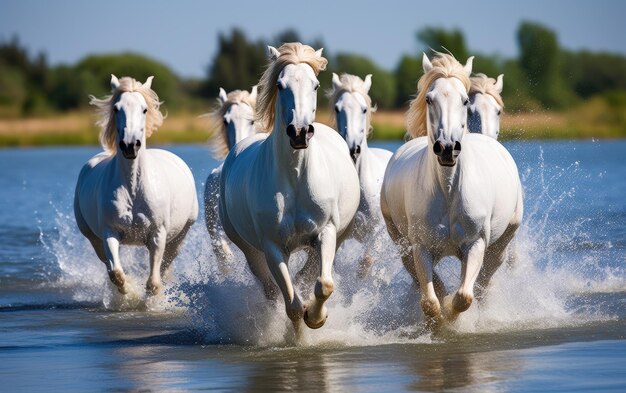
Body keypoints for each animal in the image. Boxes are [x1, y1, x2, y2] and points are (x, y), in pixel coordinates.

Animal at [74, 75, 199, 294]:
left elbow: (154, 283)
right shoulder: (109, 233)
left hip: (180, 236)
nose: (130, 145)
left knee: (166, 265)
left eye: (144, 109)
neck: (133, 190)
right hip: (92, 238)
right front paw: (127, 293)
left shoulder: (158, 235)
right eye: (116, 108)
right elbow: (116, 274)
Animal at [217, 43, 358, 330]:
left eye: (316, 85)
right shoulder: (272, 246)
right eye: (280, 85)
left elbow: (324, 284)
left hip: (337, 237)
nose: (300, 132)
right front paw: (301, 325)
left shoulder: (326, 232)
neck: (295, 178)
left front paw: (316, 318)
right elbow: (291, 305)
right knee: (271, 289)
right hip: (250, 251)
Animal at [380, 53, 520, 324]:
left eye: (464, 100)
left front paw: (454, 319)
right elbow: (431, 302)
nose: (447, 148)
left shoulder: (475, 245)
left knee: (484, 284)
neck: (448, 191)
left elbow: (464, 297)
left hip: (501, 244)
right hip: (401, 243)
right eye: (428, 98)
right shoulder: (421, 247)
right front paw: (440, 317)